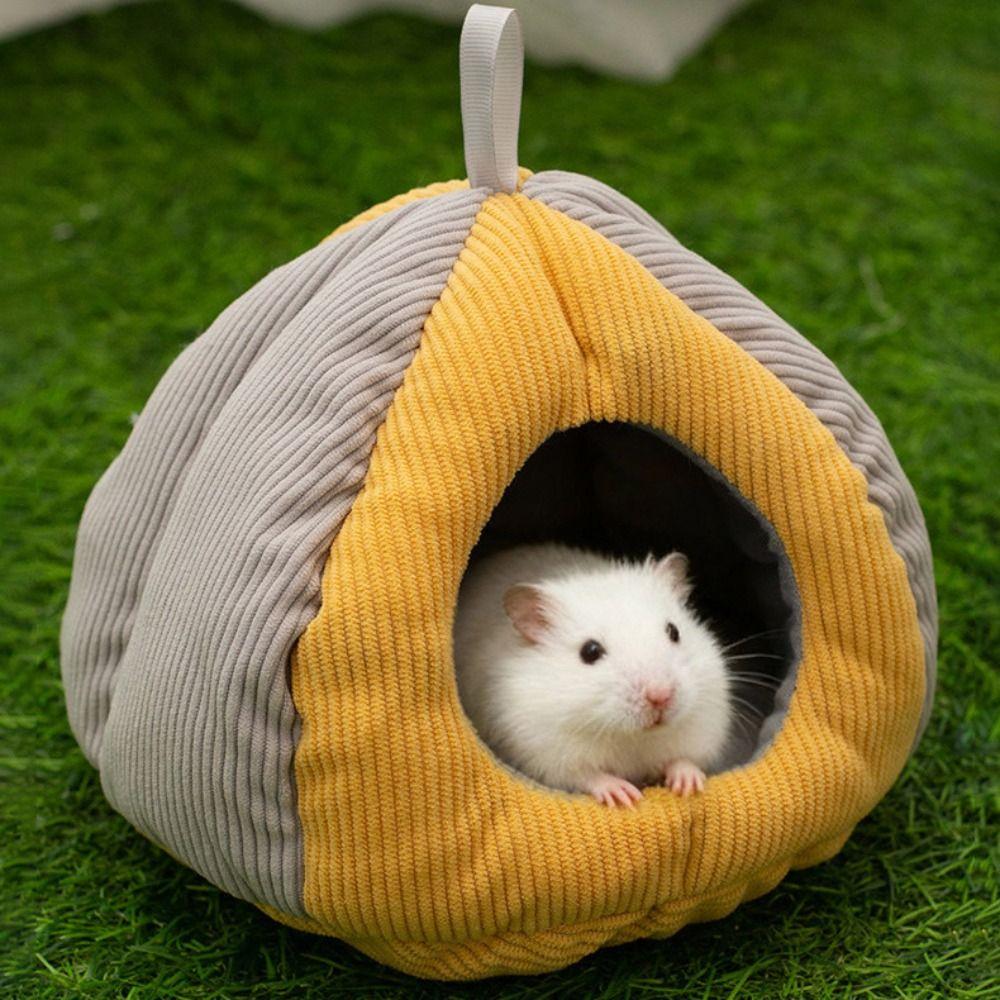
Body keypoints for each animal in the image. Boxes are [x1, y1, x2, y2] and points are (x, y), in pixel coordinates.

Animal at [453, 543, 732, 807]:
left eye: (674, 632)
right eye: (590, 651)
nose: (661, 696)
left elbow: (684, 759)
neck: (631, 736)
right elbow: (588, 776)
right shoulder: (547, 751)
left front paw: (688, 785)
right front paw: (623, 796)